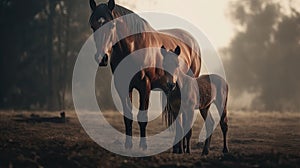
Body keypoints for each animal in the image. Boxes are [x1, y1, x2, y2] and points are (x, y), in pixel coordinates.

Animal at [89, 0, 202, 150]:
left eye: (112, 25)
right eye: (92, 25)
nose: (102, 58)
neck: (134, 47)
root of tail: (193, 41)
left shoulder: (145, 86)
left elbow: (142, 117)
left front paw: (143, 146)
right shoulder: (123, 87)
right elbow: (128, 116)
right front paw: (128, 145)